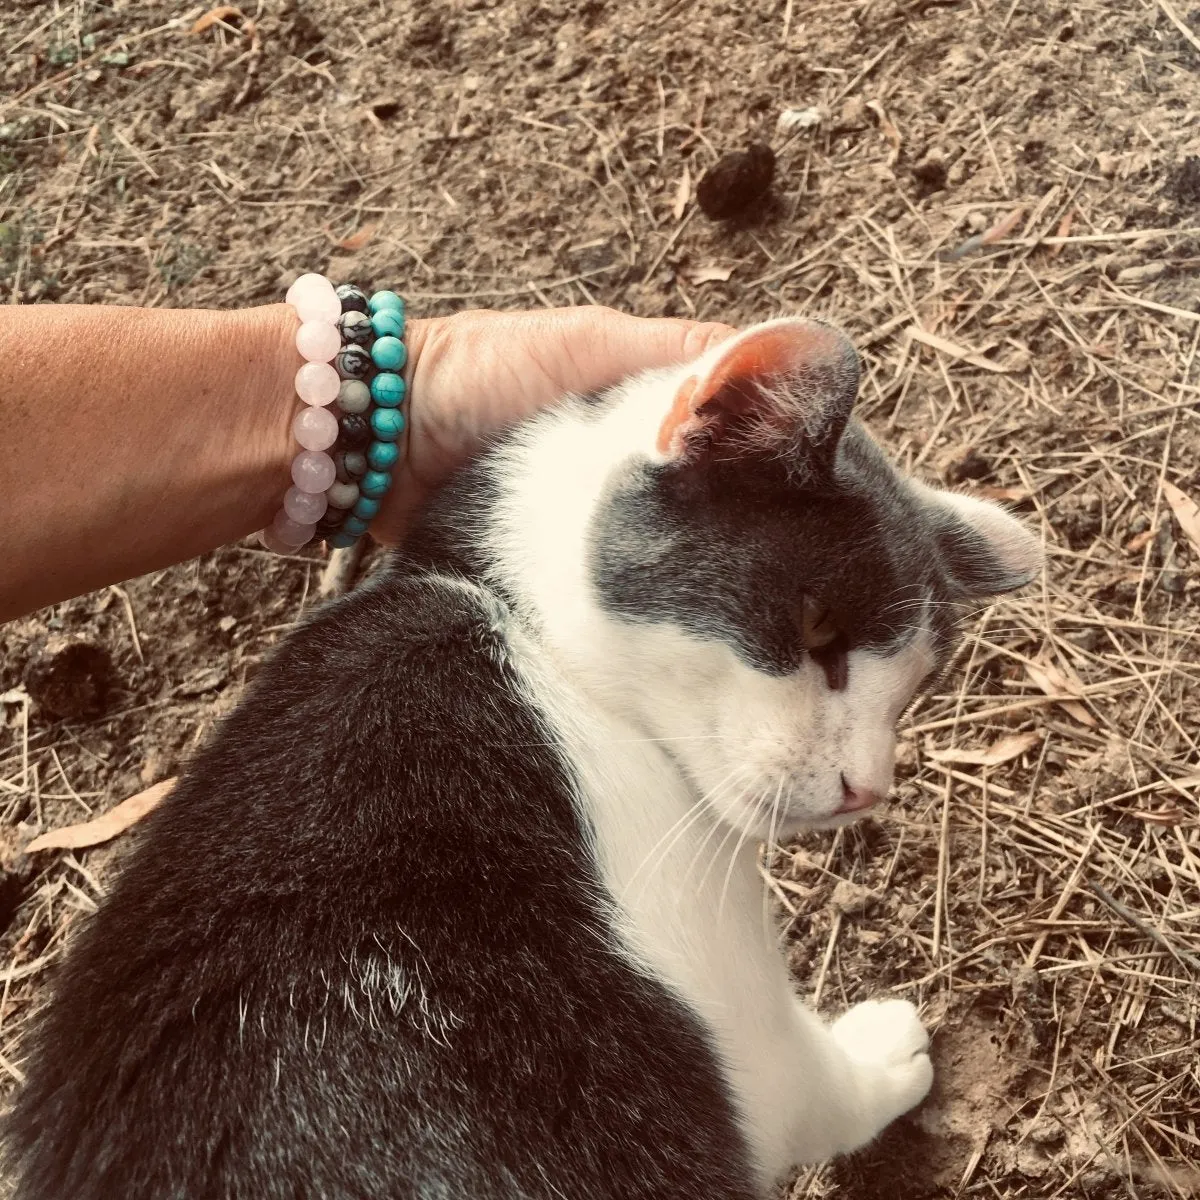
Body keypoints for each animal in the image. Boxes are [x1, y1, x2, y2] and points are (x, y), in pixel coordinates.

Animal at [4, 314, 1036, 1195]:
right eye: (818, 629)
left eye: (914, 686)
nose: (868, 787)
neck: (525, 635)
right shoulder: (721, 981)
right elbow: (804, 1086)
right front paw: (881, 1057)